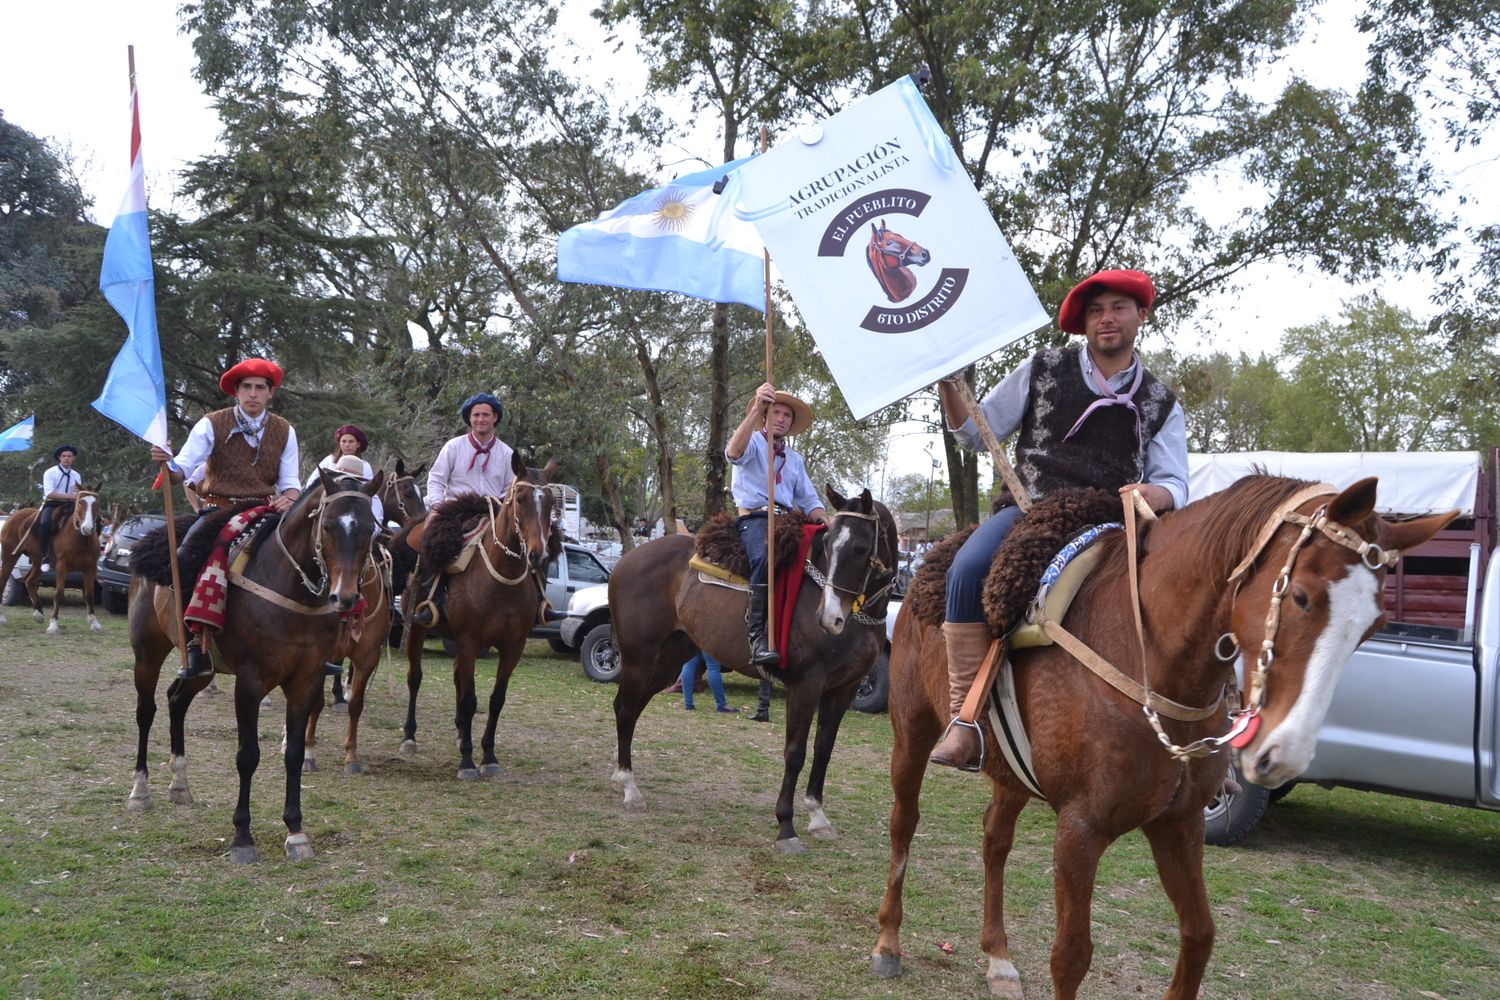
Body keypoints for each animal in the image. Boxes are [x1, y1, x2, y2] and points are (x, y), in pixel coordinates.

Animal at [0, 491, 104, 638]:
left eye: (97, 504)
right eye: (80, 503)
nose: (87, 528)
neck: (80, 538)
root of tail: (13, 516)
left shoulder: (90, 569)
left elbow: (89, 595)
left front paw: (94, 623)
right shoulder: (61, 566)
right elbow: (59, 594)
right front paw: (53, 625)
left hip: (37, 561)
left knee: (29, 581)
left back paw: (38, 614)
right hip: (9, 557)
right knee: (3, 582)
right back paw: (2, 617)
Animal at [126, 467, 384, 863]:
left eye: (370, 528)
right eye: (327, 526)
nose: (345, 597)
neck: (291, 590)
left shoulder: (306, 680)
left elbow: (294, 754)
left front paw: (295, 831)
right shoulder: (249, 682)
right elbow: (248, 756)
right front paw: (242, 836)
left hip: (203, 669)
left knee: (176, 699)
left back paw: (180, 784)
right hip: (147, 651)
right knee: (146, 710)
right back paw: (140, 789)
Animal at [399, 455, 558, 779]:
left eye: (550, 502)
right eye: (520, 499)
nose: (539, 555)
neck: (501, 581)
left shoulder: (513, 647)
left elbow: (495, 700)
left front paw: (488, 755)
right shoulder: (469, 641)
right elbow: (470, 700)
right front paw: (468, 761)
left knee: (458, 681)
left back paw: (461, 732)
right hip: (418, 631)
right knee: (415, 678)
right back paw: (410, 736)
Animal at [606, 485, 894, 851]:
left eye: (860, 547)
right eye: (828, 544)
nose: (829, 618)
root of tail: (625, 561)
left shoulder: (844, 690)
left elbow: (824, 750)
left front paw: (818, 816)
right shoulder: (806, 685)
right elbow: (795, 753)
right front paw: (786, 826)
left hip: (668, 660)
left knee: (629, 709)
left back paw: (621, 778)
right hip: (639, 658)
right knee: (626, 708)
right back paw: (630, 787)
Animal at [876, 479, 1458, 1000]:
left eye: (1373, 626)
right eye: (1301, 597)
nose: (1286, 752)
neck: (1150, 658)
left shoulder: (1179, 823)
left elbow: (1199, 936)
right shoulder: (1080, 829)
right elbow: (1071, 955)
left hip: (1011, 772)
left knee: (995, 838)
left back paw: (998, 959)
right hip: (912, 732)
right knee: (904, 822)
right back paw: (888, 944)